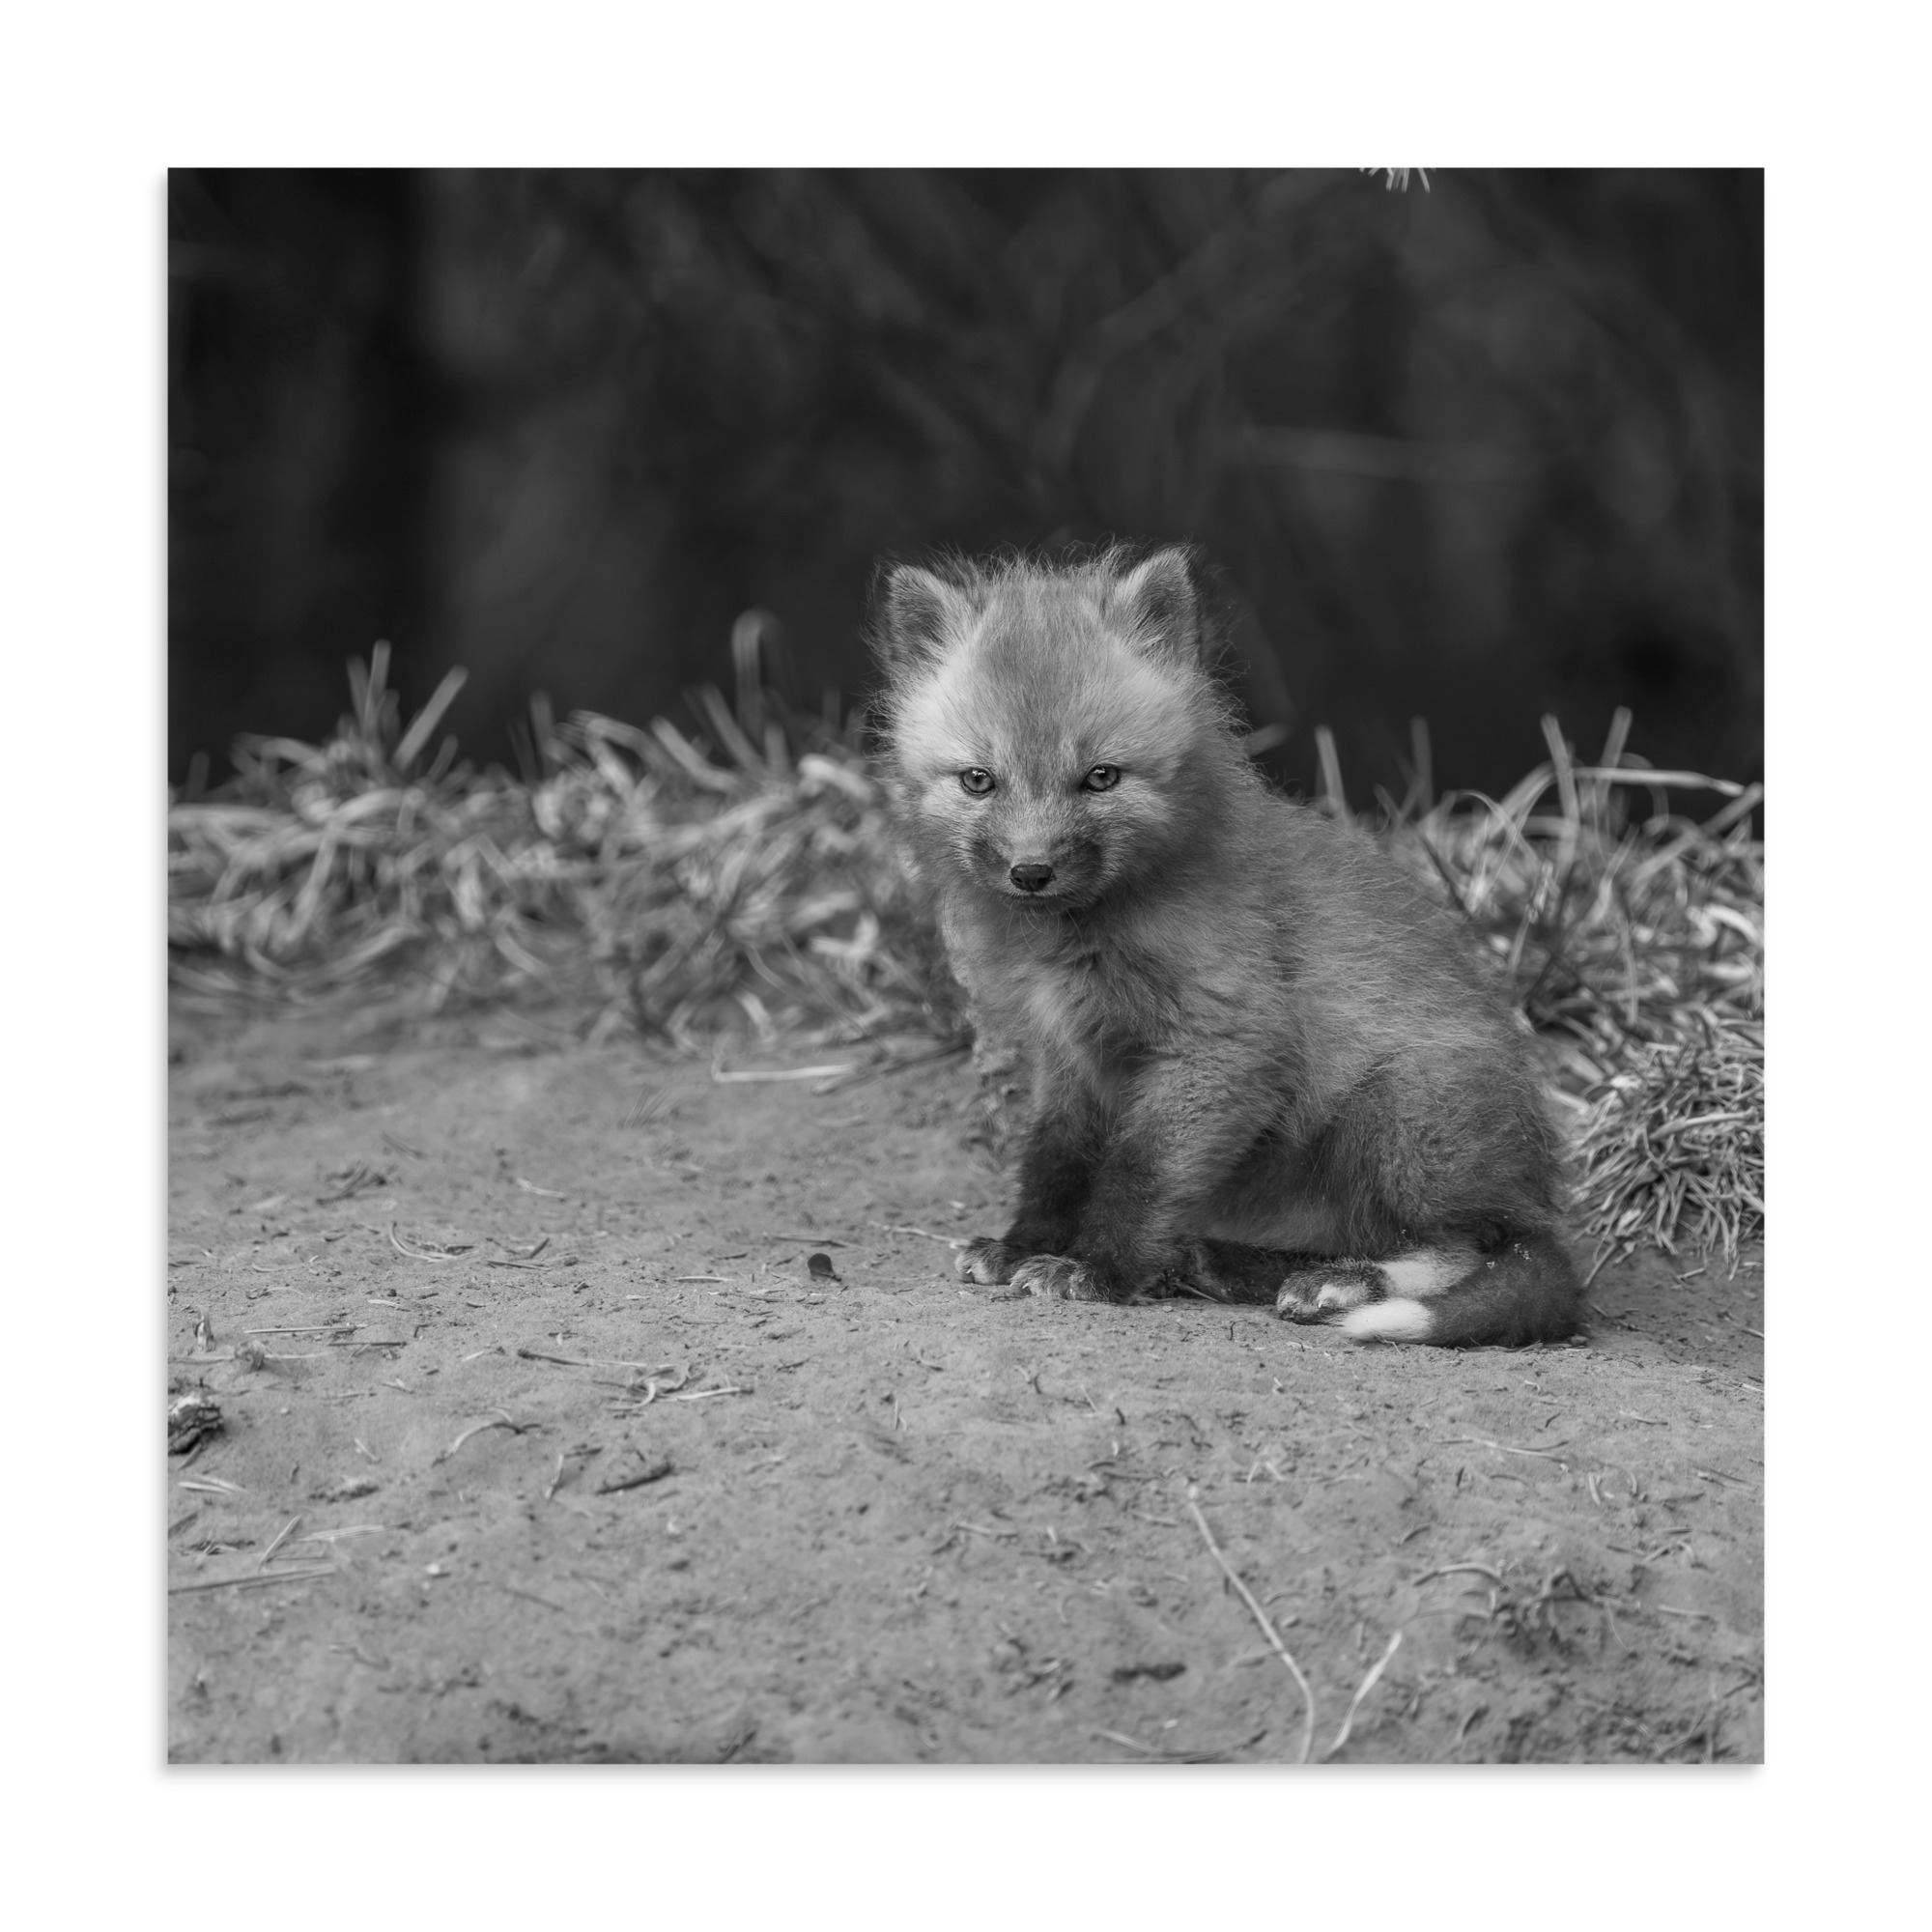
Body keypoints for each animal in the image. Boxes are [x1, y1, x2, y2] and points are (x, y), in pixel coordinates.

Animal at [868, 543, 1584, 1347]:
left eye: (1101, 777)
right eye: (979, 780)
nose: (1031, 871)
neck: (1083, 940)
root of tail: (1535, 1190)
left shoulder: (1222, 1045)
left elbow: (1139, 1173)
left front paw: (1098, 1270)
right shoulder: (1069, 1056)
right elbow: (1055, 1162)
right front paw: (1025, 1245)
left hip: (1395, 1115)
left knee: (1474, 1248)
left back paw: (1339, 1284)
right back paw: (1228, 1263)